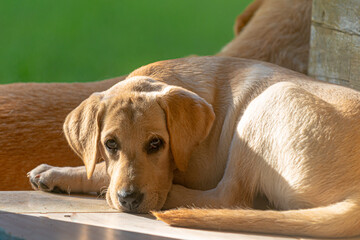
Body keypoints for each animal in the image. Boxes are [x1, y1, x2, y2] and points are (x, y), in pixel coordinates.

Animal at [28, 56, 360, 238]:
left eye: (156, 143)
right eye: (110, 144)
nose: (129, 199)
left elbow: (100, 173)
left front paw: (58, 173)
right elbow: (100, 169)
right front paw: (54, 173)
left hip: (266, 102)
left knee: (229, 197)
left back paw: (175, 198)